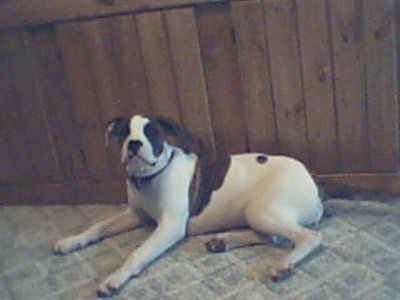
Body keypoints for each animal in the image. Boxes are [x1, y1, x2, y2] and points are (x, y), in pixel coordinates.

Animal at [52, 114, 368, 298]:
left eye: (152, 133)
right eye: (123, 133)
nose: (133, 144)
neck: (150, 178)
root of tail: (314, 176)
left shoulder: (169, 227)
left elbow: (137, 252)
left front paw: (115, 278)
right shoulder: (135, 216)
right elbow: (97, 226)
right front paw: (71, 241)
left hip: (264, 210)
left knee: (309, 237)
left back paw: (283, 265)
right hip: (261, 212)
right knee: (274, 236)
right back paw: (223, 241)